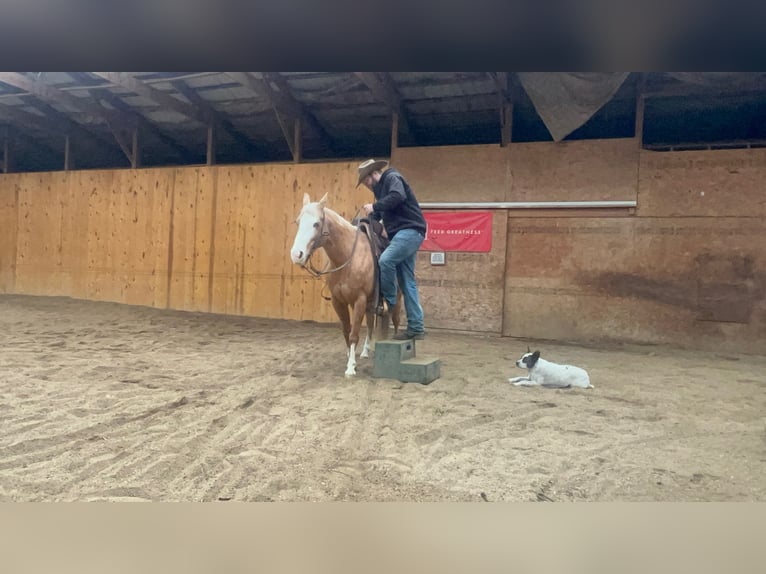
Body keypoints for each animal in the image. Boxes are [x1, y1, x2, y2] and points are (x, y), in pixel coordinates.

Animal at [290, 191, 402, 376]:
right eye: (298, 222)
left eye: (316, 223)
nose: (296, 254)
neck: (348, 257)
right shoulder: (338, 301)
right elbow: (346, 331)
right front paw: (352, 359)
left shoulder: (359, 300)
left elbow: (354, 334)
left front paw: (350, 368)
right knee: (370, 324)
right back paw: (365, 351)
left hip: (397, 298)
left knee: (396, 319)